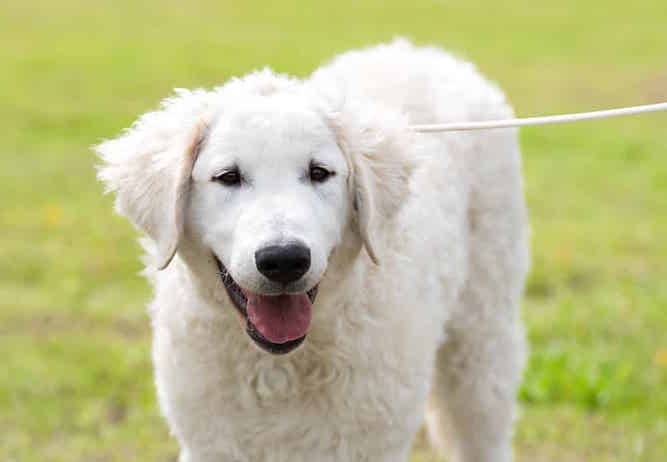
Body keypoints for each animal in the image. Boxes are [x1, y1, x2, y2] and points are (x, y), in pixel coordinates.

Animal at [96, 39, 528, 462]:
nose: (284, 260)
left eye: (319, 173)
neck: (281, 365)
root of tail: (421, 52)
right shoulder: (212, 441)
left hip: (482, 337)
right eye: (228, 177)